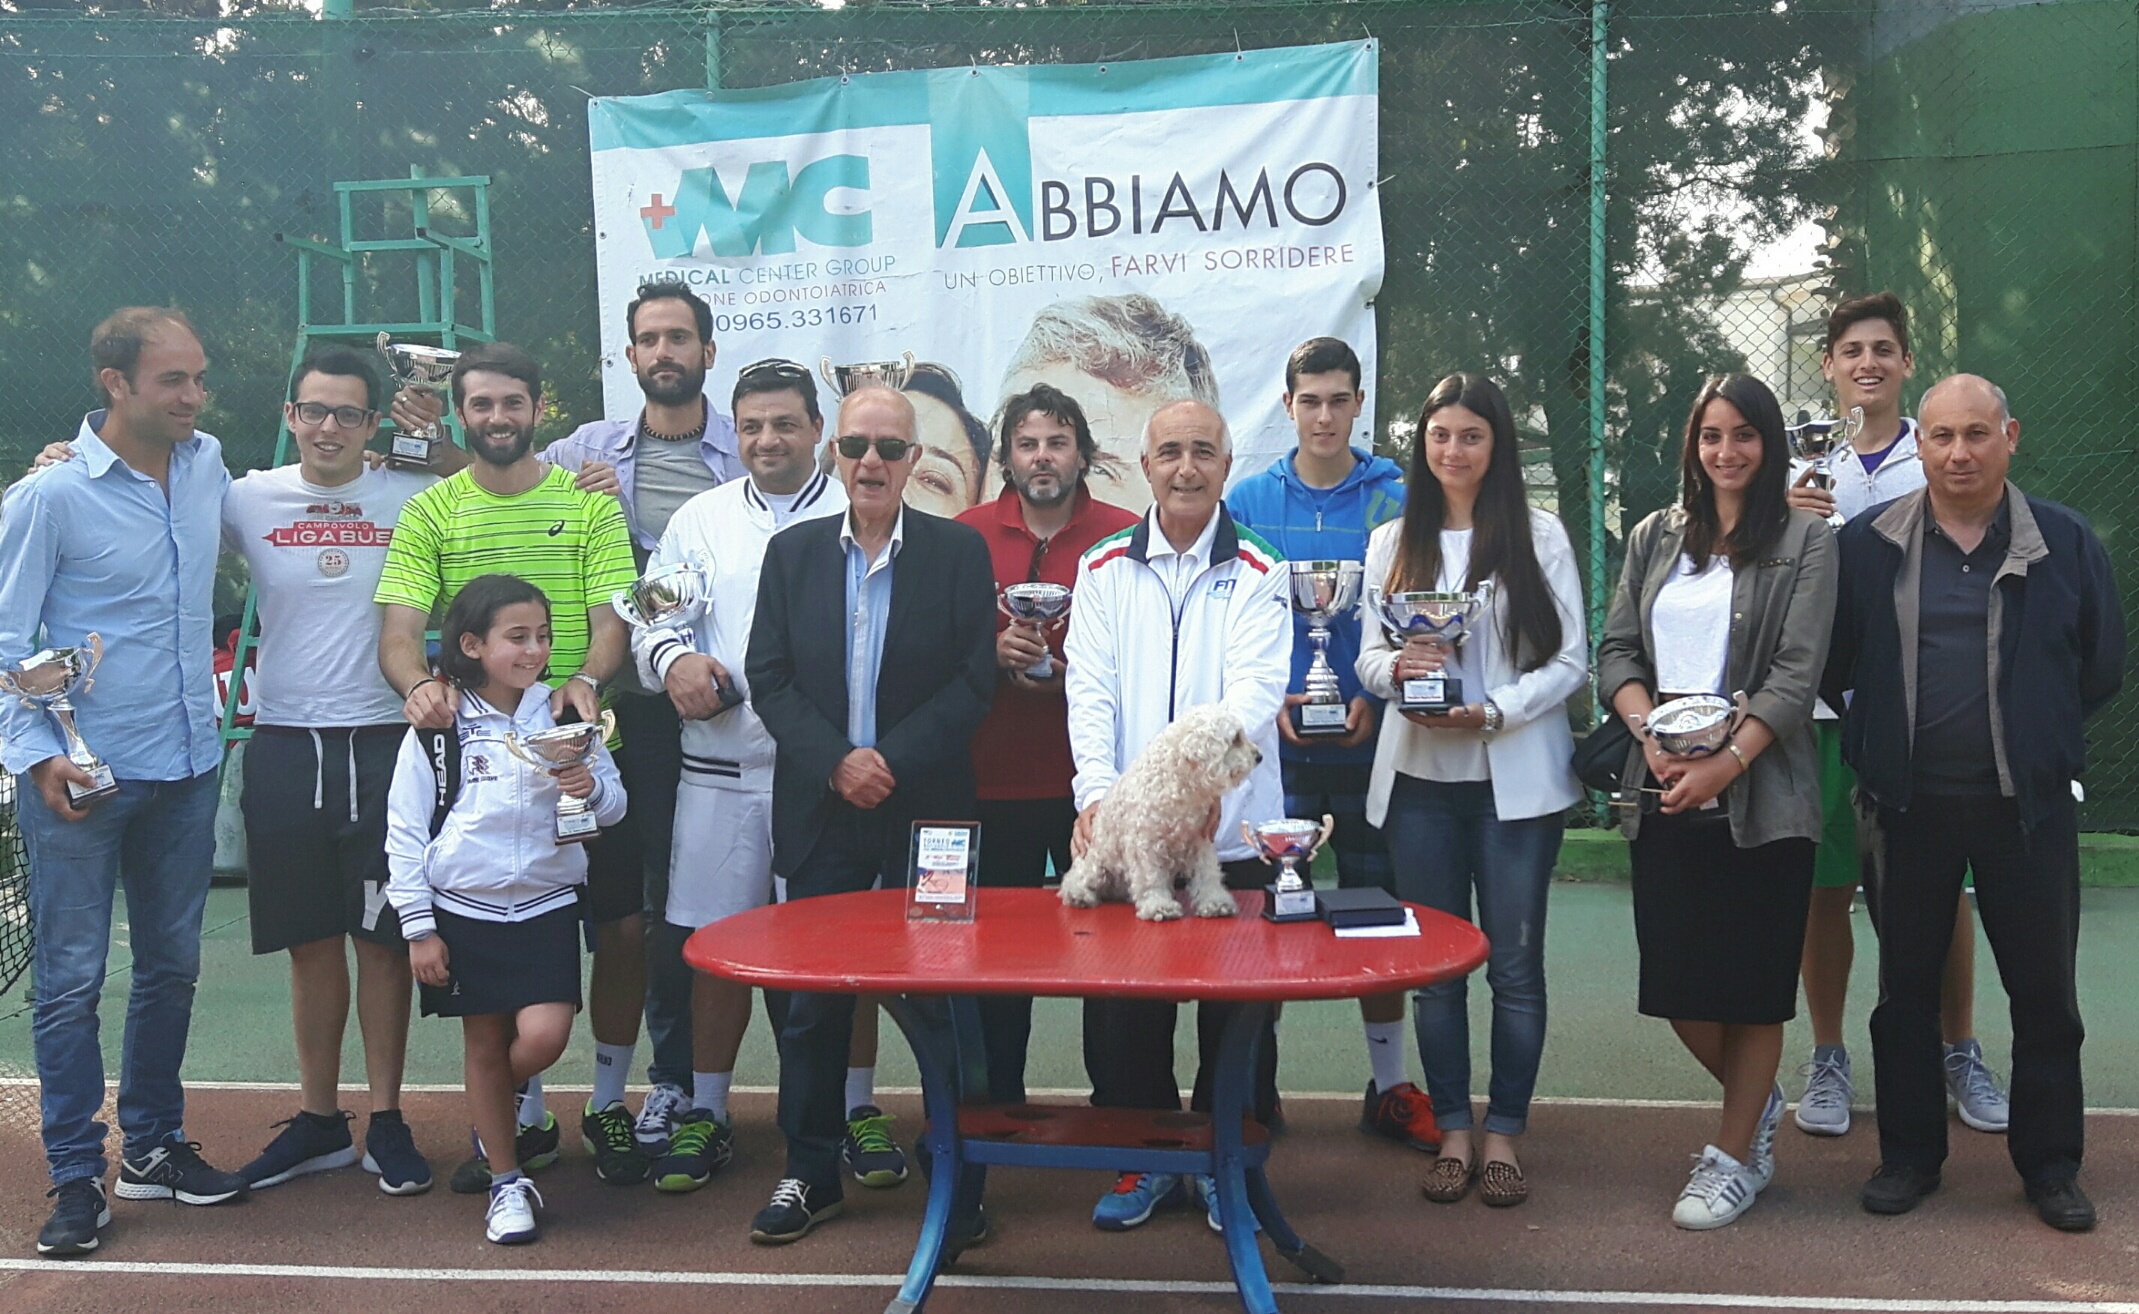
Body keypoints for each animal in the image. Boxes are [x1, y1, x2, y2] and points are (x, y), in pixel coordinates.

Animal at [1060, 706, 1257, 920]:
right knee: (1073, 880)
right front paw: (1159, 906)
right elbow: (1151, 879)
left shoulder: (1201, 840)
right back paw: (1079, 895)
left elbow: (1208, 874)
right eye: (1235, 738)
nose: (1259, 756)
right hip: (1095, 863)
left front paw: (1215, 902)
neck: (1179, 782)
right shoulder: (1145, 844)